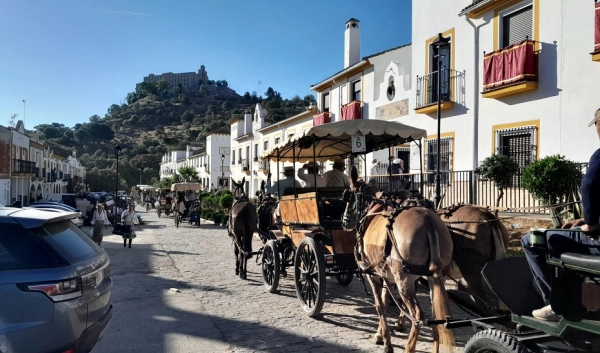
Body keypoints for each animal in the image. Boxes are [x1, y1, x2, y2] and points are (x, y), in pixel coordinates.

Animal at [346, 169, 454, 350]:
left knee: (418, 315)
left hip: (404, 280)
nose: (344, 220)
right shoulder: (386, 275)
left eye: (348, 196)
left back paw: (409, 347)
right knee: (435, 315)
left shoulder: (373, 274)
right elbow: (384, 300)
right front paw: (381, 334)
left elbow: (379, 306)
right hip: (436, 277)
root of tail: (429, 223)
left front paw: (387, 343)